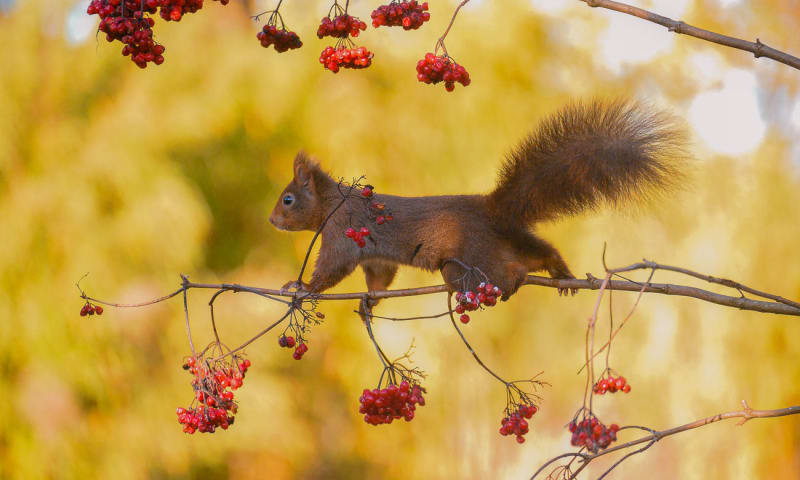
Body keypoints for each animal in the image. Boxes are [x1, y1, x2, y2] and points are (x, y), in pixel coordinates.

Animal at [270, 99, 688, 302]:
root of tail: (494, 211)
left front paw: (302, 287)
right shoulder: (374, 256)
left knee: (509, 273)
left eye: (288, 199)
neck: (331, 202)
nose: (272, 221)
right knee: (541, 251)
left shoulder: (343, 230)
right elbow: (379, 278)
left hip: (468, 262)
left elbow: (332, 267)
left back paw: (516, 282)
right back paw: (561, 271)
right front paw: (370, 301)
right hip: (507, 241)